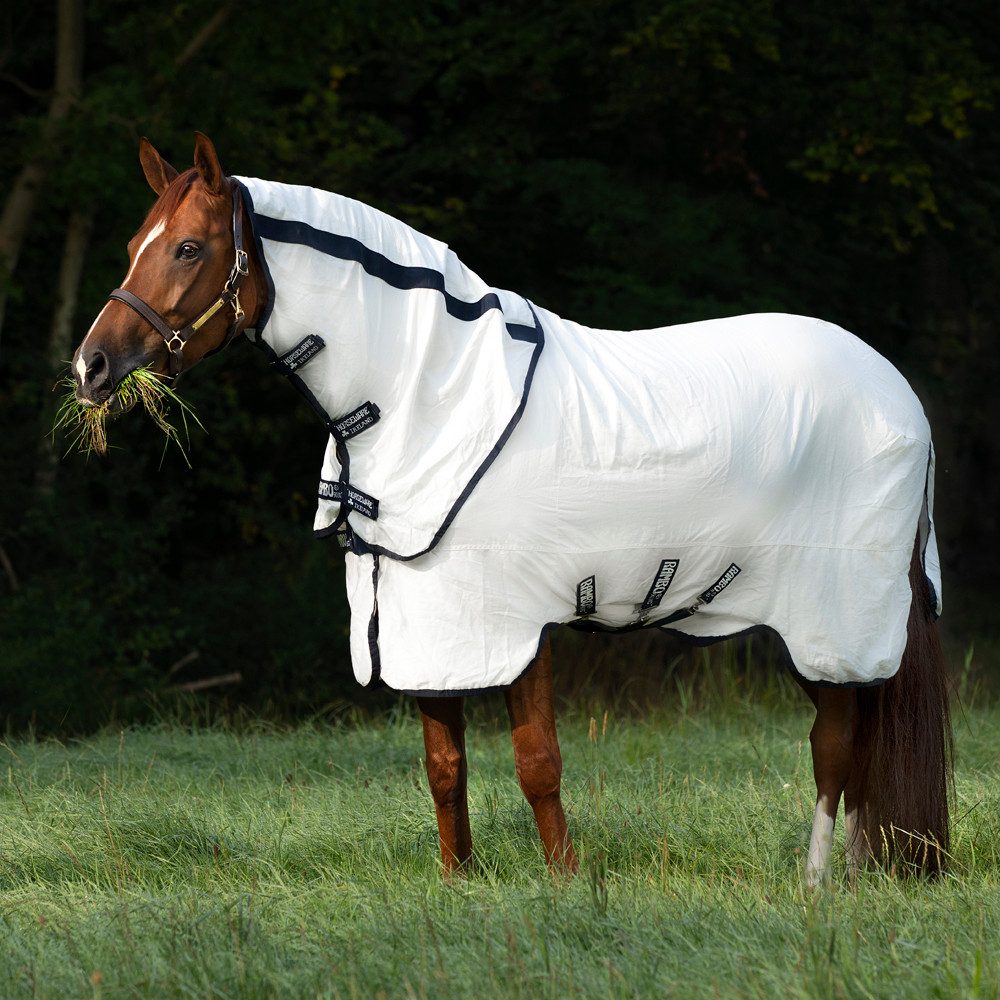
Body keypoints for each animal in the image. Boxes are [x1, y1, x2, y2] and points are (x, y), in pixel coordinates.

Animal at [71, 133, 951, 884]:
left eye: (189, 248)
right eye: (134, 245)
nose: (92, 366)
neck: (427, 391)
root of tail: (899, 393)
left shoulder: (518, 620)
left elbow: (538, 763)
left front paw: (566, 884)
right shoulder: (427, 622)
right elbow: (444, 766)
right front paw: (457, 880)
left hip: (832, 617)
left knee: (834, 745)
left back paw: (816, 885)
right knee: (854, 741)